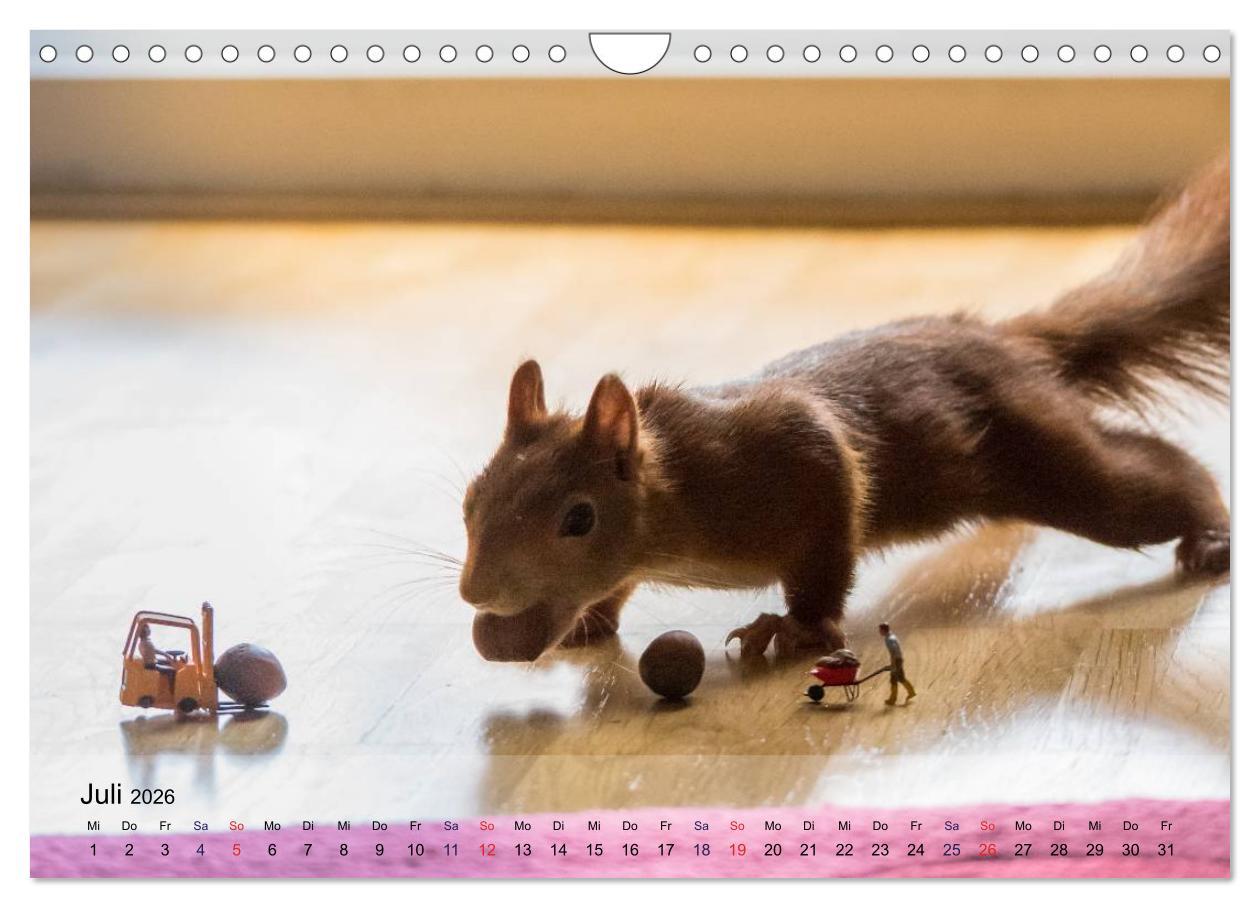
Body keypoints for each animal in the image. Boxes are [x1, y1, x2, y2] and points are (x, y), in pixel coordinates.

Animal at [461, 155, 1230, 662]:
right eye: (469, 503)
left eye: (579, 519)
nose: (475, 594)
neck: (679, 489)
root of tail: (999, 341)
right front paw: (593, 617)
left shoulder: (801, 456)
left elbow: (828, 547)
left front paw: (797, 629)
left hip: (1043, 455)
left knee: (1149, 478)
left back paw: (1211, 535)